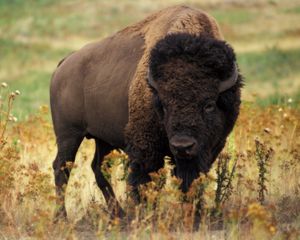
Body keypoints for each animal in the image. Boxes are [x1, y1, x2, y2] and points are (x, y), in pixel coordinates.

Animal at [50, 5, 243, 222]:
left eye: (209, 104)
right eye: (164, 105)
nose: (182, 146)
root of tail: (64, 64)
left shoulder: (209, 149)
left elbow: (191, 181)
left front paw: (194, 215)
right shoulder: (146, 149)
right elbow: (145, 182)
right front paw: (145, 215)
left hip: (103, 139)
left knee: (98, 168)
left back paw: (119, 214)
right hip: (69, 134)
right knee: (62, 168)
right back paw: (62, 218)